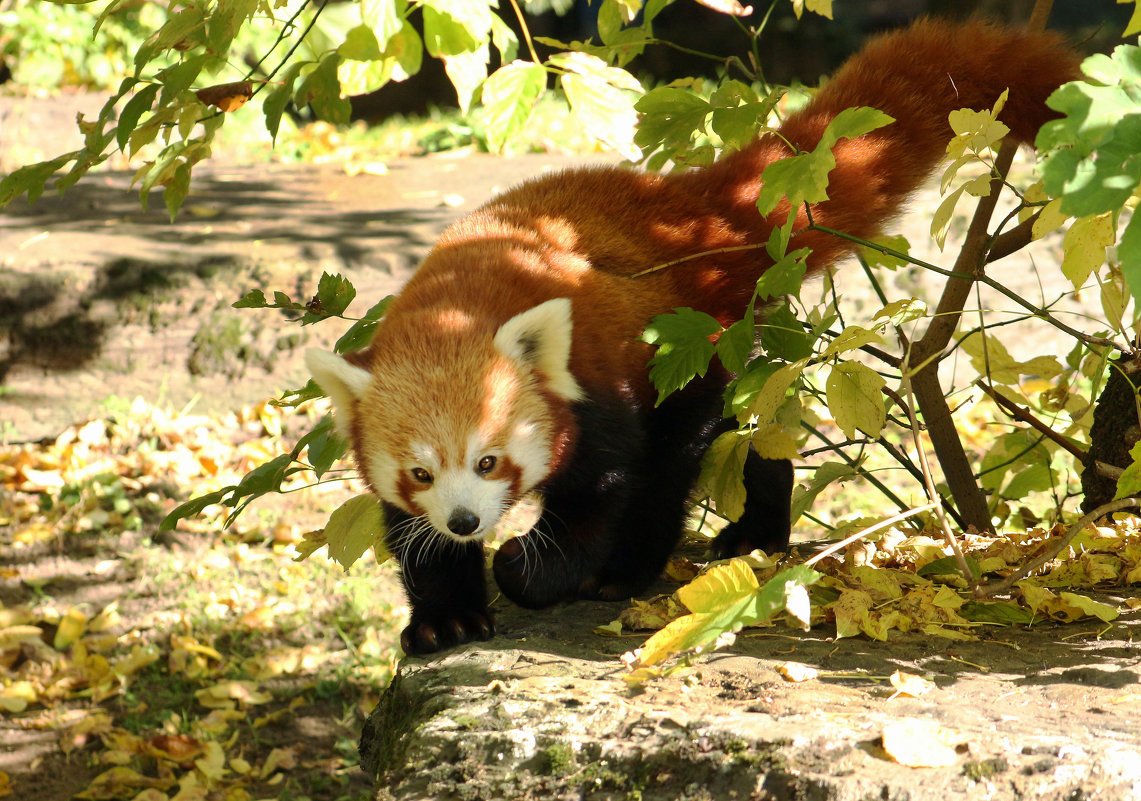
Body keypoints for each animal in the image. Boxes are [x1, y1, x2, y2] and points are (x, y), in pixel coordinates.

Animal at [305, 20, 1077, 657]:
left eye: (490, 460)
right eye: (421, 472)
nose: (467, 521)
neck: (457, 304)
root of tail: (689, 209)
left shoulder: (596, 387)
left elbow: (604, 489)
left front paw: (534, 569)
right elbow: (413, 536)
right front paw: (447, 616)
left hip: (691, 346)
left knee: (670, 460)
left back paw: (630, 569)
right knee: (745, 433)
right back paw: (758, 527)